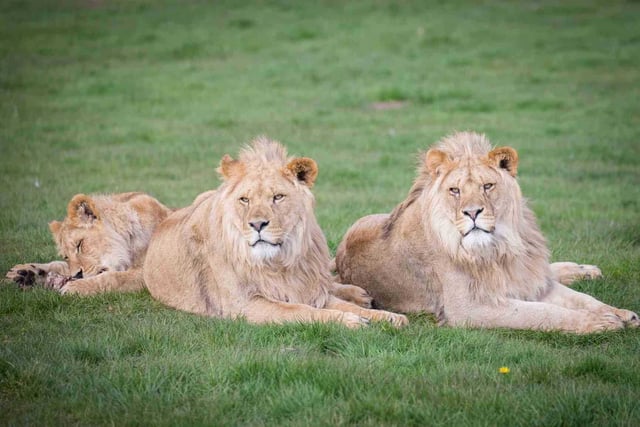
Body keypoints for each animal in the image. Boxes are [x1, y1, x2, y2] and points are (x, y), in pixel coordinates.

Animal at [6, 192, 172, 295]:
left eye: (79, 244)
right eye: (66, 256)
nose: (77, 275)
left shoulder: (151, 273)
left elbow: (113, 277)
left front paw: (75, 287)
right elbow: (59, 265)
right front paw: (23, 273)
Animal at [143, 137, 407, 328]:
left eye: (278, 197)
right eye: (245, 199)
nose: (258, 224)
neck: (278, 263)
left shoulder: (309, 289)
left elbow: (340, 304)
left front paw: (388, 317)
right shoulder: (244, 304)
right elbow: (301, 311)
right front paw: (352, 322)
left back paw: (359, 294)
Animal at [335, 132, 639, 333]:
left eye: (488, 186)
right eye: (455, 190)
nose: (472, 213)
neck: (499, 248)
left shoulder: (529, 280)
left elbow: (583, 299)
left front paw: (622, 314)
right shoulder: (470, 308)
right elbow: (542, 313)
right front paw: (600, 322)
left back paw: (585, 270)